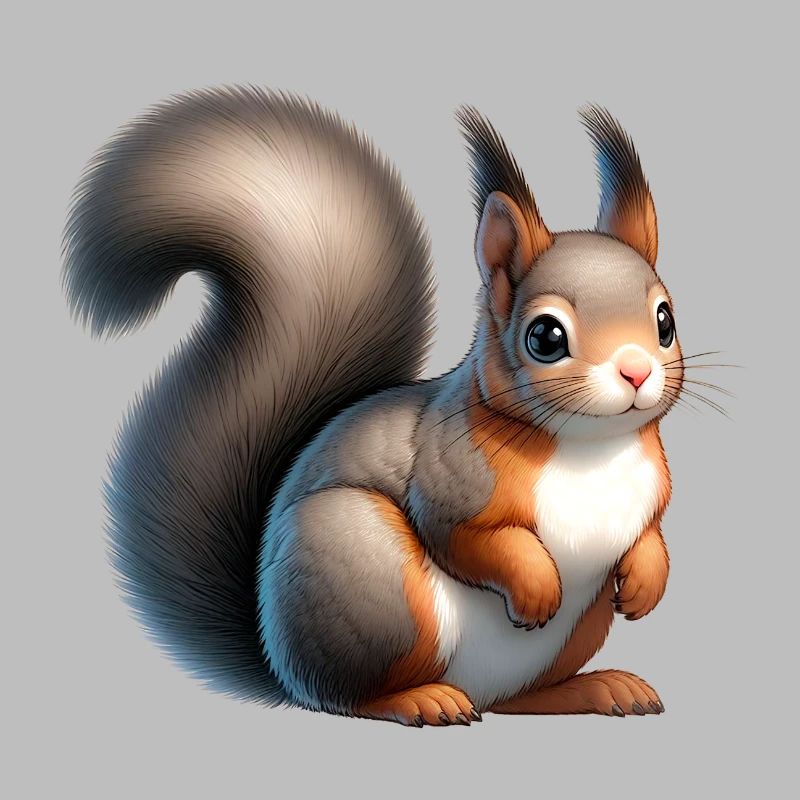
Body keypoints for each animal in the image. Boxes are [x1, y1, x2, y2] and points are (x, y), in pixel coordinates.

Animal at [63, 87, 682, 727]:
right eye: (545, 337)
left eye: (665, 321)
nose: (637, 370)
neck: (591, 449)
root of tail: (279, 661)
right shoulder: (449, 477)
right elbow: (469, 538)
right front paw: (536, 588)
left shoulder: (652, 486)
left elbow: (650, 532)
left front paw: (647, 579)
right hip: (368, 570)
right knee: (351, 697)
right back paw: (423, 699)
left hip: (575, 632)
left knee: (521, 699)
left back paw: (600, 688)